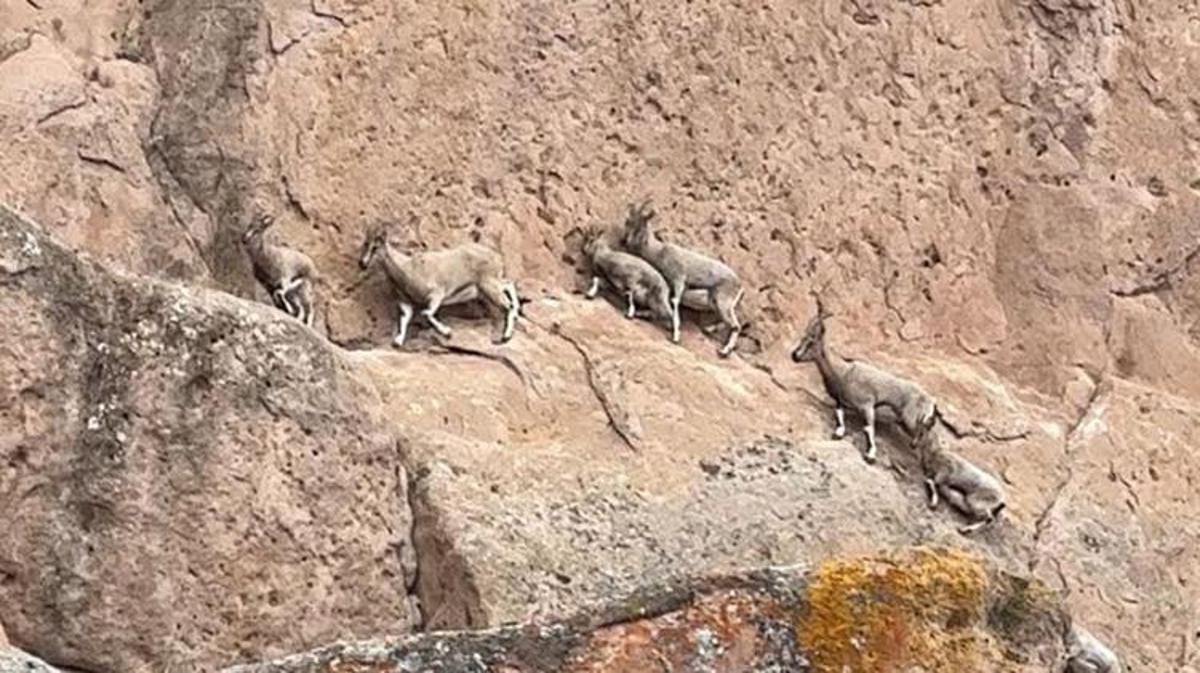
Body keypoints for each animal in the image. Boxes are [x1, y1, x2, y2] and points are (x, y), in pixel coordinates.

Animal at [360, 225, 520, 345]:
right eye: (365, 244)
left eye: (375, 247)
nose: (362, 264)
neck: (408, 268)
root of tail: (497, 257)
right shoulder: (407, 302)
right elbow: (405, 319)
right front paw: (398, 341)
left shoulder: (436, 295)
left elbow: (426, 313)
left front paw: (447, 332)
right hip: (488, 285)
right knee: (509, 285)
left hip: (488, 285)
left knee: (507, 305)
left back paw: (506, 336)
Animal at [796, 298, 936, 460]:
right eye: (802, 339)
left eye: (811, 342)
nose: (794, 355)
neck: (843, 372)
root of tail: (930, 401)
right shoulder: (841, 400)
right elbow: (839, 415)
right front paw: (838, 433)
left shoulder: (867, 405)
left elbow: (868, 428)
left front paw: (870, 455)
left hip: (910, 418)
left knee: (925, 431)